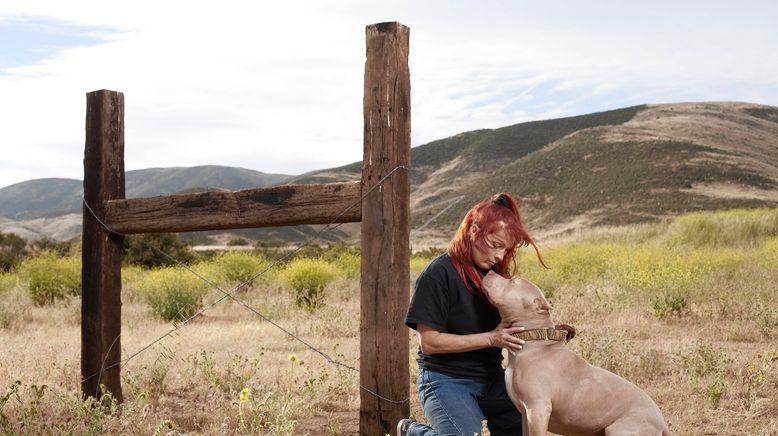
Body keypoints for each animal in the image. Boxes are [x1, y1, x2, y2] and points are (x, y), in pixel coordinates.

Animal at [478, 270, 668, 436]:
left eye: (512, 281)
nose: (489, 272)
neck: (534, 341)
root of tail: (662, 421)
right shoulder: (526, 414)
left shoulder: (538, 409)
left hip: (621, 429)